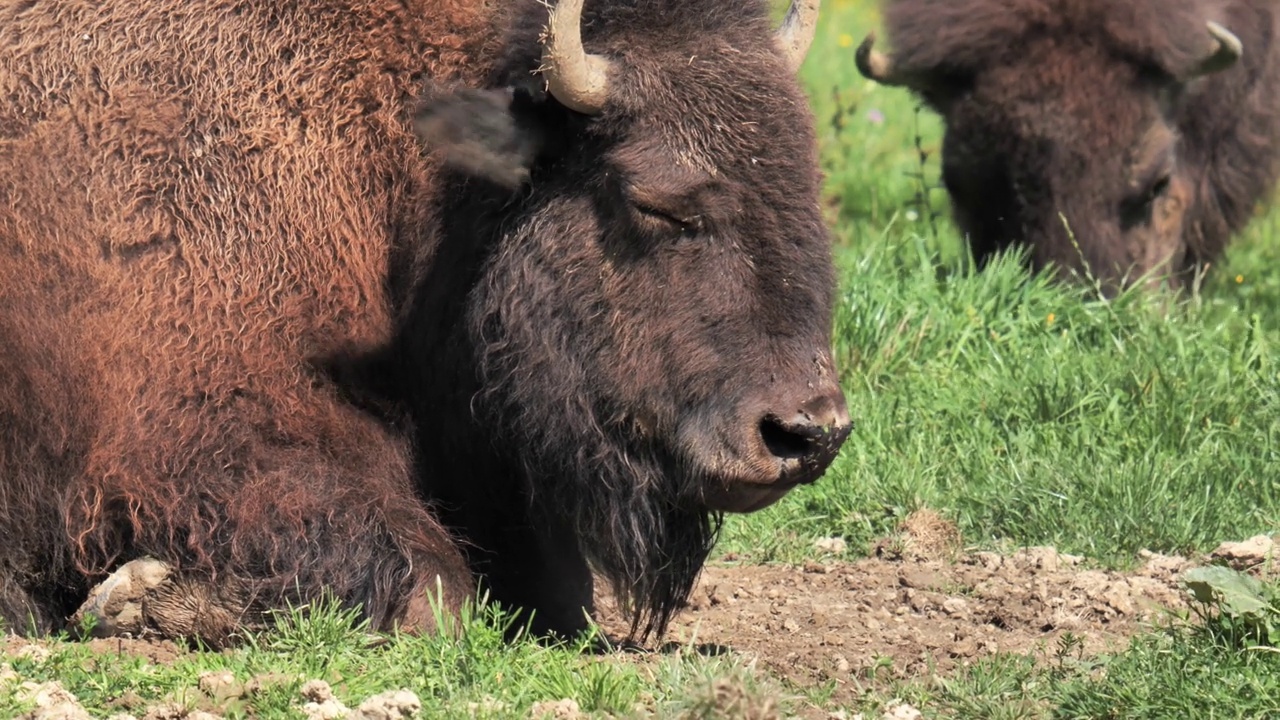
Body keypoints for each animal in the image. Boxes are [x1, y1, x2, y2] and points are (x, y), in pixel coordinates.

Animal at [2, 0, 860, 640]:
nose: (806, 433)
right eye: (656, 202)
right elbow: (435, 588)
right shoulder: (196, 426)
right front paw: (135, 595)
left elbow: (562, 594)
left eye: (806, 182)